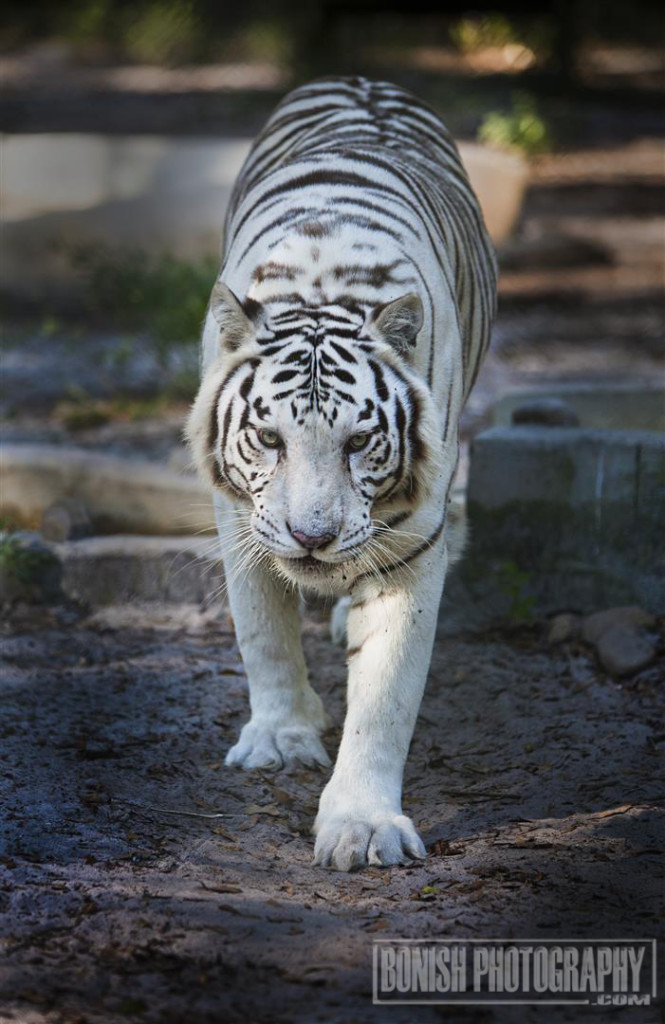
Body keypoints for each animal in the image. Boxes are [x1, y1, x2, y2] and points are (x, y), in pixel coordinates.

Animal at [184, 74, 495, 872]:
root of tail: (363, 81)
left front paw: (363, 825)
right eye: (269, 438)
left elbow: (385, 696)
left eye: (359, 443)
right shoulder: (240, 518)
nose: (312, 537)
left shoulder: (415, 544)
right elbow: (261, 632)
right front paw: (279, 738)